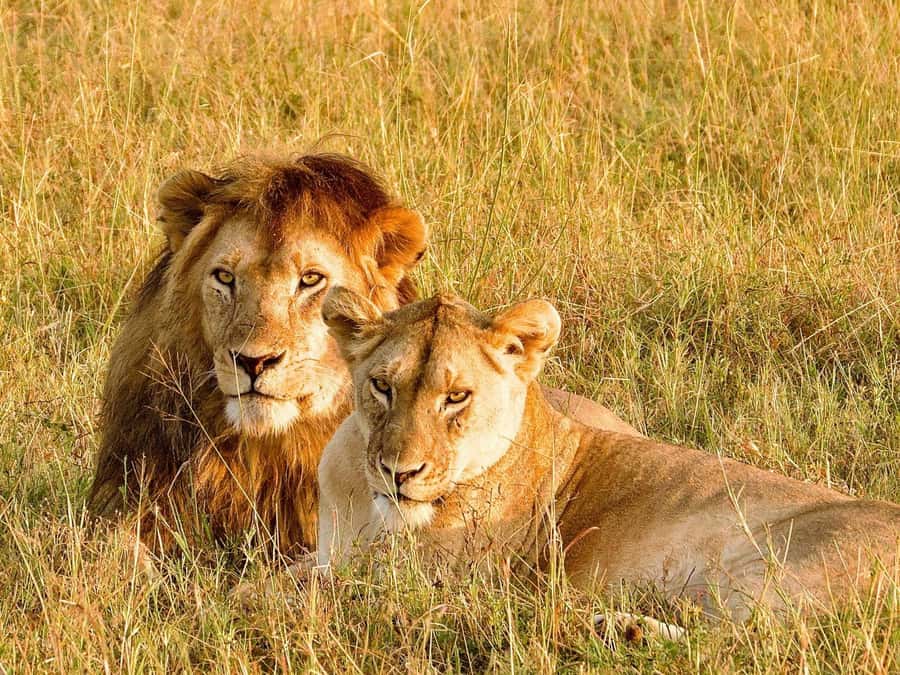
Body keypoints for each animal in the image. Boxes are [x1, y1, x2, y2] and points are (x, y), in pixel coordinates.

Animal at [315, 288, 900, 620]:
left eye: (457, 396)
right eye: (382, 387)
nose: (397, 472)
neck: (367, 506)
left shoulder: (424, 580)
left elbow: (305, 590)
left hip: (776, 573)